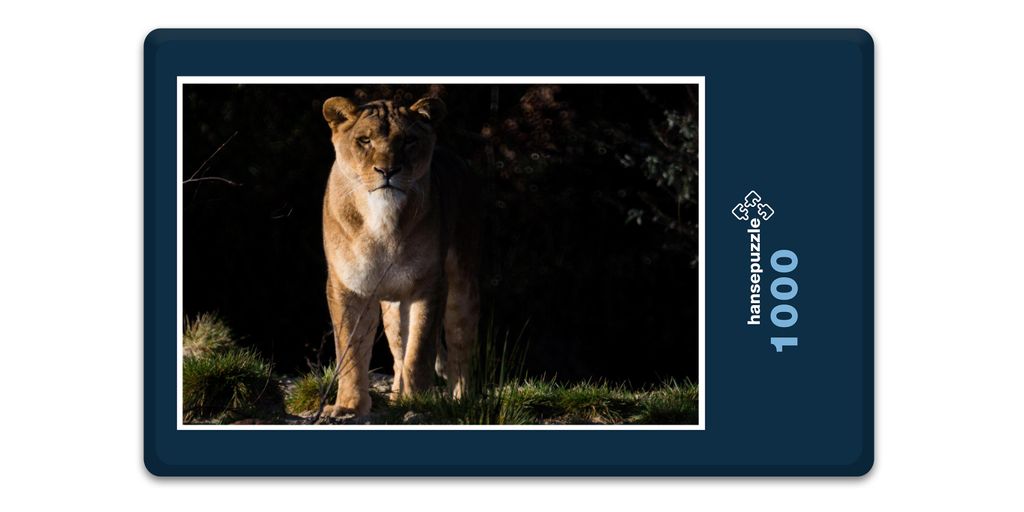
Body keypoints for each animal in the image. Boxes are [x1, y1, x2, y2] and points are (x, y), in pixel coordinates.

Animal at [319, 95, 480, 417]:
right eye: (364, 140)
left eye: (408, 141)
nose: (387, 171)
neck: (380, 219)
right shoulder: (347, 286)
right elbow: (351, 351)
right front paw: (349, 406)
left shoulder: (429, 285)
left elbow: (419, 351)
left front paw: (417, 402)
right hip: (392, 305)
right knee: (397, 351)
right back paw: (394, 398)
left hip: (462, 285)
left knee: (459, 345)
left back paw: (460, 400)